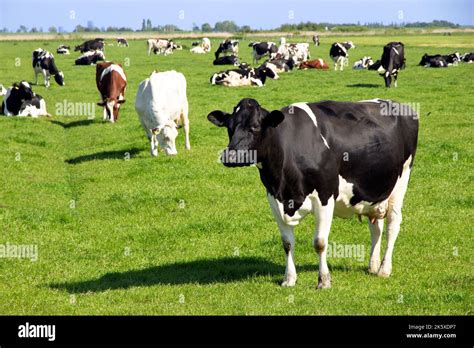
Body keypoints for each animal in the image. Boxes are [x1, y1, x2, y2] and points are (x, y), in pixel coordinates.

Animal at [207, 97, 418, 288]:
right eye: (229, 127)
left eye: (255, 127)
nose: (230, 156)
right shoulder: (274, 199)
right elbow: (287, 243)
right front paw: (289, 279)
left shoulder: (325, 197)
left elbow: (320, 243)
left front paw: (323, 281)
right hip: (375, 194)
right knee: (376, 228)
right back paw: (373, 265)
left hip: (401, 183)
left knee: (393, 225)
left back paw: (384, 269)